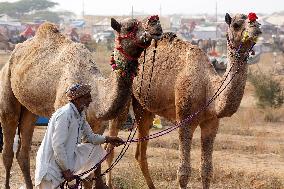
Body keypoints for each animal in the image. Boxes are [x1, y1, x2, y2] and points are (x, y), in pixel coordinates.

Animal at [0, 15, 162, 188]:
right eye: (130, 27)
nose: (155, 22)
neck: (97, 97)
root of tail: (13, 54)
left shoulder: (98, 126)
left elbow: (93, 169)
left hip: (29, 110)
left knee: (23, 150)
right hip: (7, 86)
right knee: (8, 146)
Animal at [105, 13, 262, 189]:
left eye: (256, 20)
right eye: (236, 25)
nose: (256, 27)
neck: (208, 88)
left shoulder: (211, 123)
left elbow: (206, 170)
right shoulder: (184, 120)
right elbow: (183, 172)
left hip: (144, 108)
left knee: (140, 152)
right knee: (110, 144)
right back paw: (108, 183)